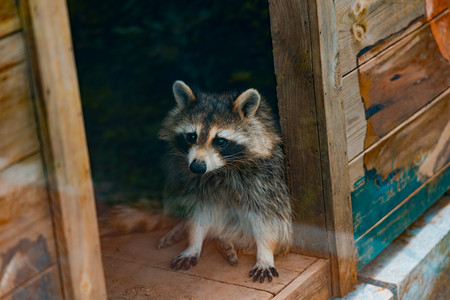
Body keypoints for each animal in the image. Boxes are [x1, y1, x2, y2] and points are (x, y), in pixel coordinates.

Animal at [160, 81, 294, 282]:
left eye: (220, 141)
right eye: (192, 136)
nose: (197, 167)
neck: (221, 169)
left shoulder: (267, 180)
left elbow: (268, 217)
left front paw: (265, 254)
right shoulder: (196, 183)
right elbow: (200, 213)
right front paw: (194, 242)